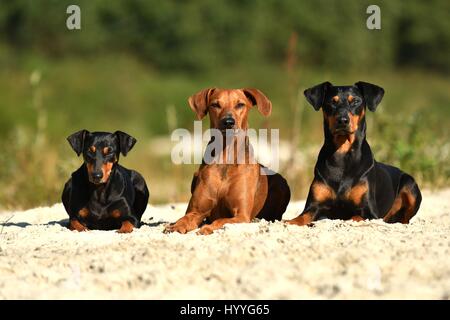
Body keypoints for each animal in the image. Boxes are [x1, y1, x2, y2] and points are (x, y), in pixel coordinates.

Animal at [163, 88, 290, 235]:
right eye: (215, 105)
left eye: (240, 104)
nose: (228, 122)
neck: (225, 158)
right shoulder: (196, 211)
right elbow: (185, 218)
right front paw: (176, 226)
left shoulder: (241, 215)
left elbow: (221, 221)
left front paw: (208, 228)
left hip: (282, 184)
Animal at [288, 81, 422, 226]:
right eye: (332, 102)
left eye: (356, 101)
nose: (342, 120)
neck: (341, 152)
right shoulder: (313, 206)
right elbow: (300, 218)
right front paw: (289, 222)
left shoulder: (369, 212)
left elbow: (354, 217)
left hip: (410, 186)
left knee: (404, 219)